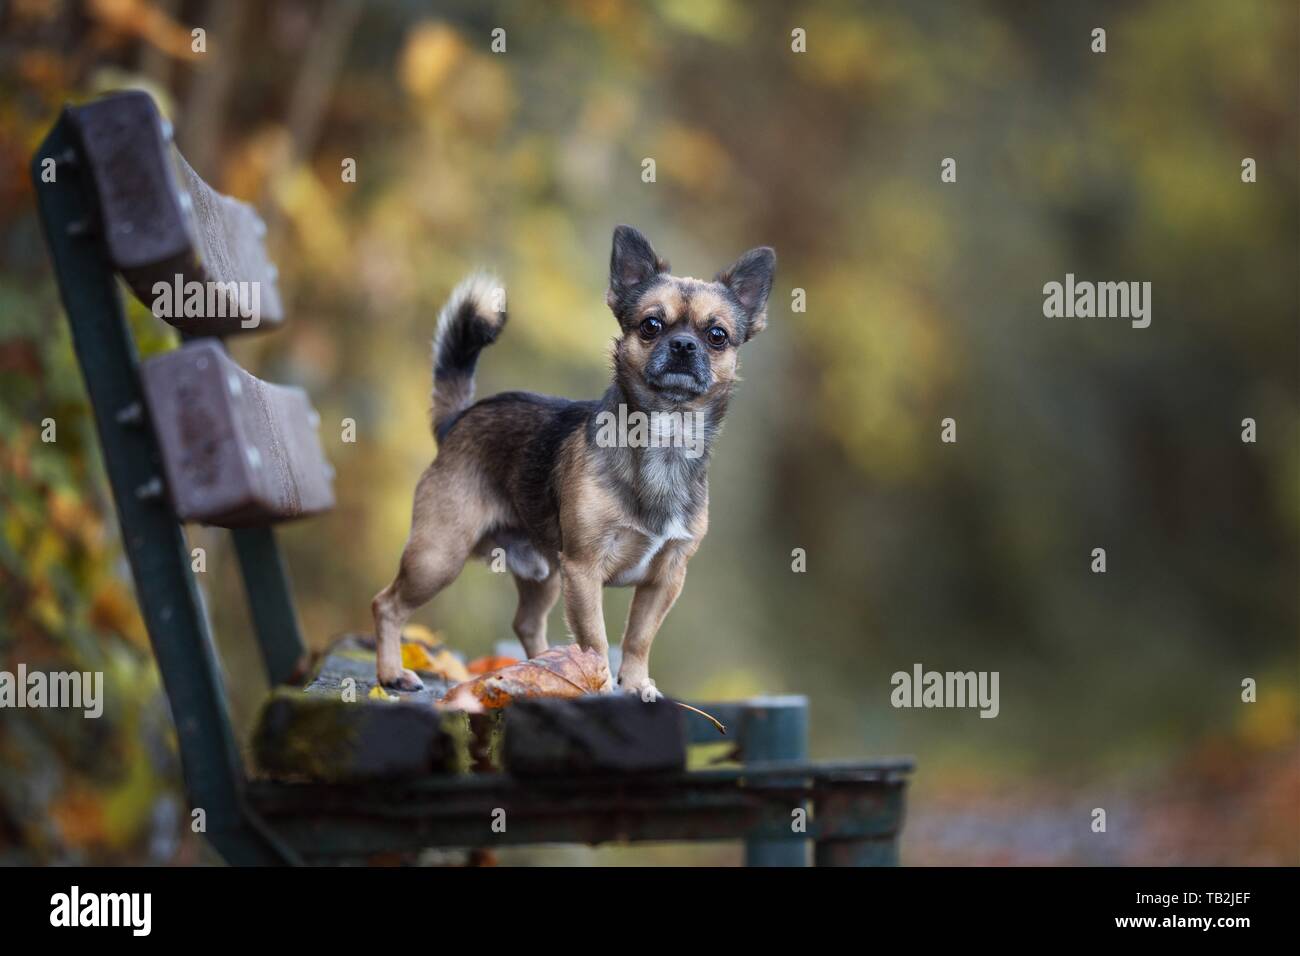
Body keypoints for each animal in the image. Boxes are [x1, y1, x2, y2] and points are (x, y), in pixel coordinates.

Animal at [369, 225, 769, 697]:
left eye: (717, 335)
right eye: (650, 325)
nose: (684, 345)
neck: (663, 440)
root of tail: (458, 420)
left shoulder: (664, 580)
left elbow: (638, 638)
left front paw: (636, 684)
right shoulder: (583, 570)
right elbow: (594, 639)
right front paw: (601, 687)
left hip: (542, 573)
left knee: (526, 622)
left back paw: (545, 671)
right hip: (438, 557)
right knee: (386, 604)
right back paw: (392, 673)